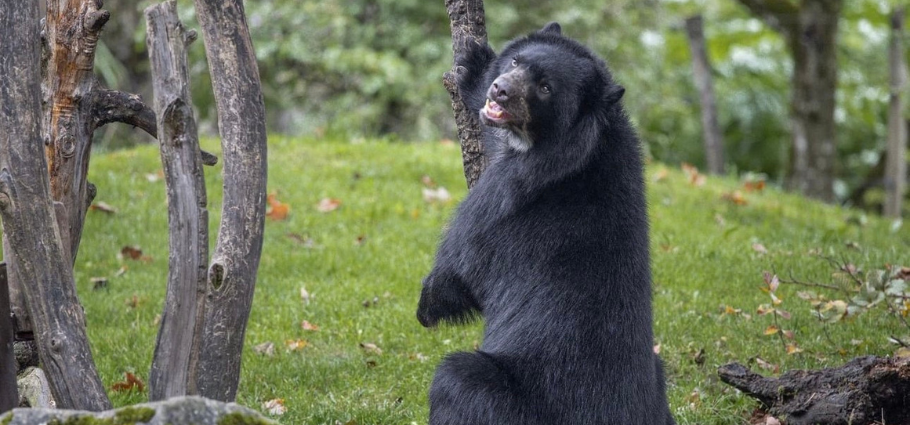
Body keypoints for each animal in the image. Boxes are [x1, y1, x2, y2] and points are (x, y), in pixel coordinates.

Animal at [420, 21, 676, 422]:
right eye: (515, 61)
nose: (501, 90)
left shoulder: (502, 200)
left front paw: (426, 306)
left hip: (506, 398)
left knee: (456, 378)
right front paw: (473, 64)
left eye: (545, 88)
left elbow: (459, 263)